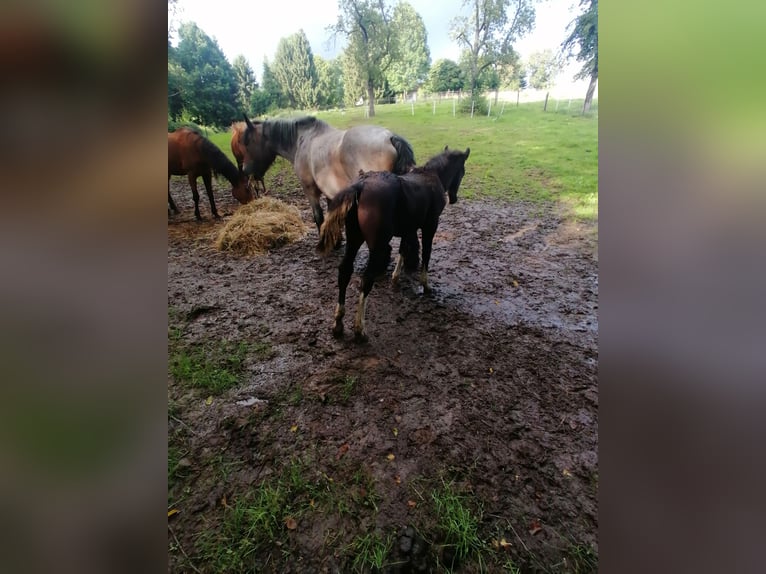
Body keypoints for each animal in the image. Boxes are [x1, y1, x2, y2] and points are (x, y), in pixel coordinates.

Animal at [243, 115, 416, 232]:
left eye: (247, 143)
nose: (245, 170)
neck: (303, 140)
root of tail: (390, 137)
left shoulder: (310, 190)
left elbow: (319, 216)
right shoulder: (330, 191)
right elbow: (331, 216)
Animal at [316, 146, 472, 342]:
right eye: (462, 171)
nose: (454, 198)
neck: (430, 177)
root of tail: (361, 186)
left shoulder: (408, 228)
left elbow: (404, 249)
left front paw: (395, 278)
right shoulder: (430, 226)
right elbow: (426, 253)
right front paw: (426, 285)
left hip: (354, 238)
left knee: (344, 271)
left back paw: (338, 324)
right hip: (378, 245)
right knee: (367, 279)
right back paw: (360, 329)